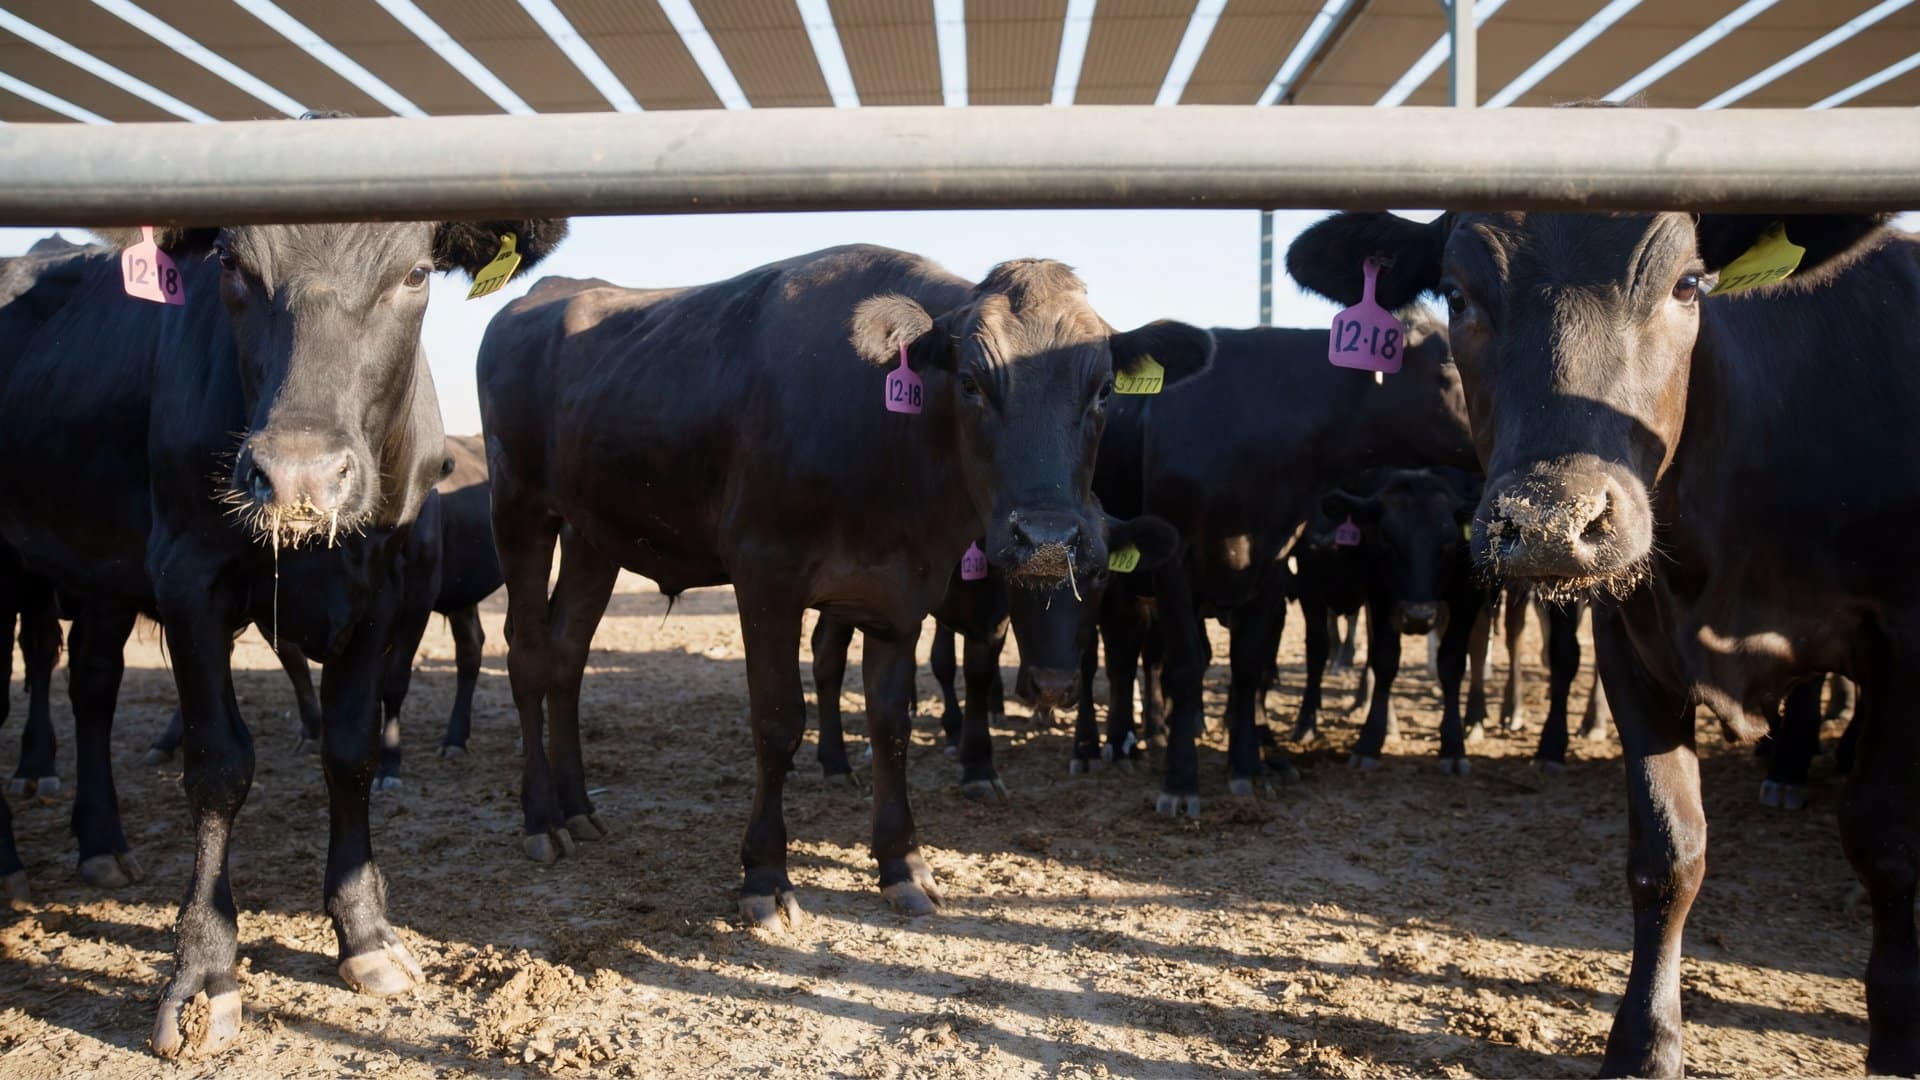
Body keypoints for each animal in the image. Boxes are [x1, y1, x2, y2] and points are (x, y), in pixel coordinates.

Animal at [0, 206, 563, 1058]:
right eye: (232, 265)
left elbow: (350, 752)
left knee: (93, 686)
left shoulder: (385, 587)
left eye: (414, 274)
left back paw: (99, 842)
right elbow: (218, 766)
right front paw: (203, 972)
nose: (299, 476)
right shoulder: (188, 577)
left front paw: (364, 932)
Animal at [478, 246, 1212, 927]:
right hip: (519, 509)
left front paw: (902, 865)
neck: (886, 447)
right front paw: (765, 877)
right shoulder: (764, 574)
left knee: (568, 657)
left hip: (591, 535)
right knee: (527, 656)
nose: (1048, 537)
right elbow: (778, 721)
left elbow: (891, 724)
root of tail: (543, 293)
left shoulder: (903, 592)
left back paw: (578, 807)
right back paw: (542, 818)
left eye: (1105, 391)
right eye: (971, 381)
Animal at [1080, 315, 1476, 814]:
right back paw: (1105, 744)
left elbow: (1250, 667)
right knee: (1109, 658)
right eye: (1452, 363)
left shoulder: (1274, 563)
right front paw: (1180, 781)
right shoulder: (1175, 562)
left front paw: (1247, 767)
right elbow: (1186, 666)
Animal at [1287, 206, 1916, 1075]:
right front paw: (1645, 1043)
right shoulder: (1631, 641)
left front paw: (1896, 1033)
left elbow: (1885, 842)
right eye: (1456, 293)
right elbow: (1667, 850)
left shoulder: (1901, 640)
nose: (1551, 522)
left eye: (1688, 283)